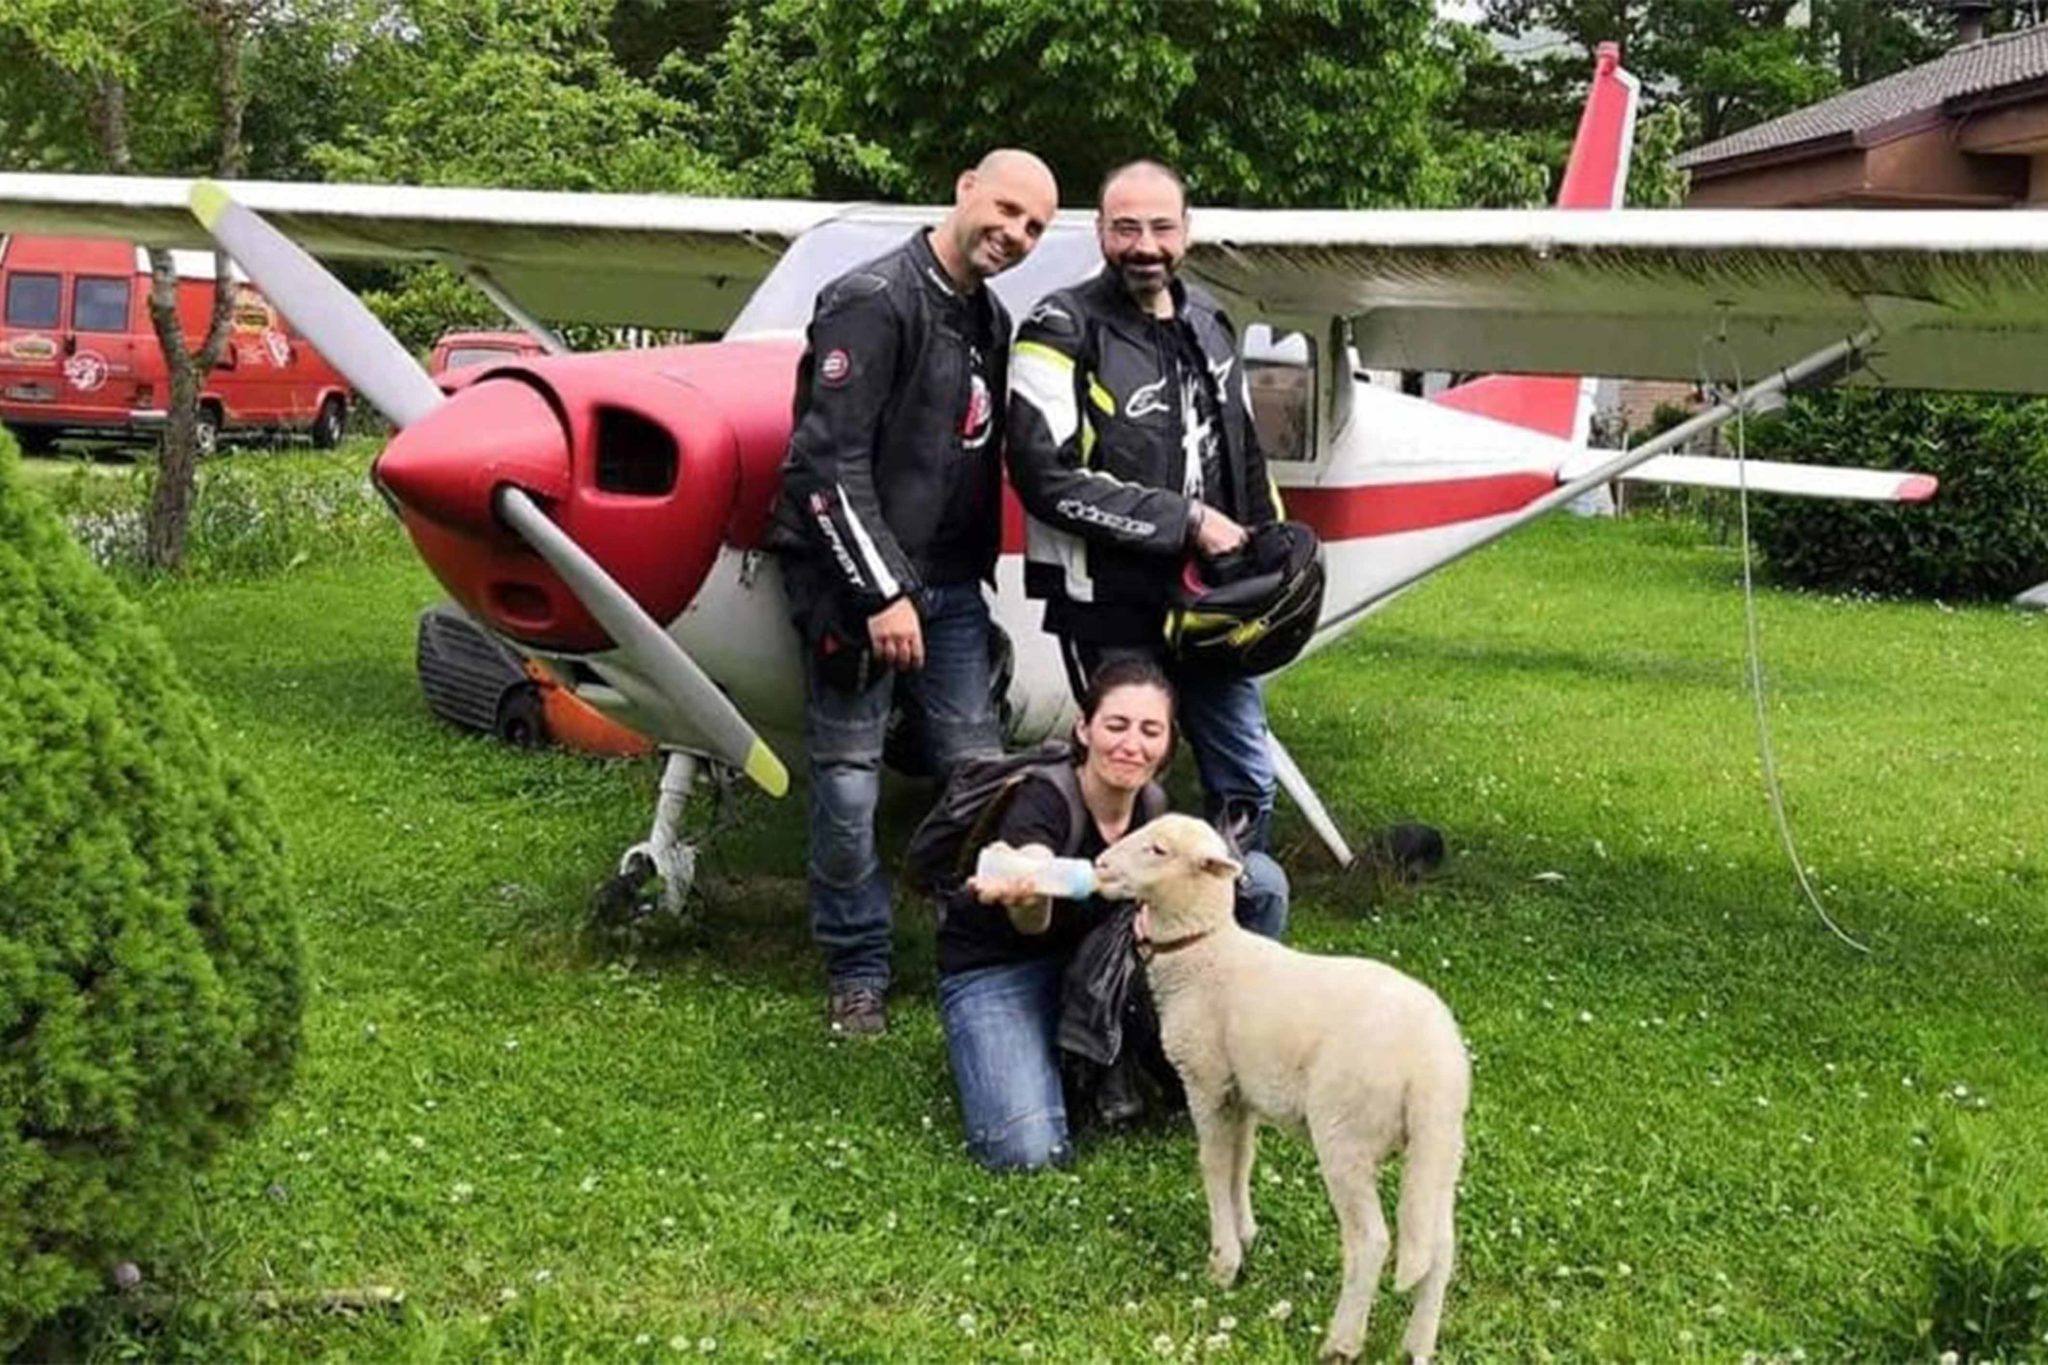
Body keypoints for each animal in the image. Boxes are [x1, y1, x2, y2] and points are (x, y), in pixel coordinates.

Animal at [1095, 814, 1471, 1364]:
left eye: (1159, 849)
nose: (1099, 865)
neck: (1206, 953)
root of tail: (1431, 1065)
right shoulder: (1243, 1092)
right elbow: (1241, 1162)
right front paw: (1246, 1233)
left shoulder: (1206, 1080)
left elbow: (1213, 1164)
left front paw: (1223, 1261)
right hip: (1441, 1147)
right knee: (1439, 1246)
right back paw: (1418, 1345)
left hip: (1346, 1131)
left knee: (1372, 1241)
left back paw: (1342, 1341)